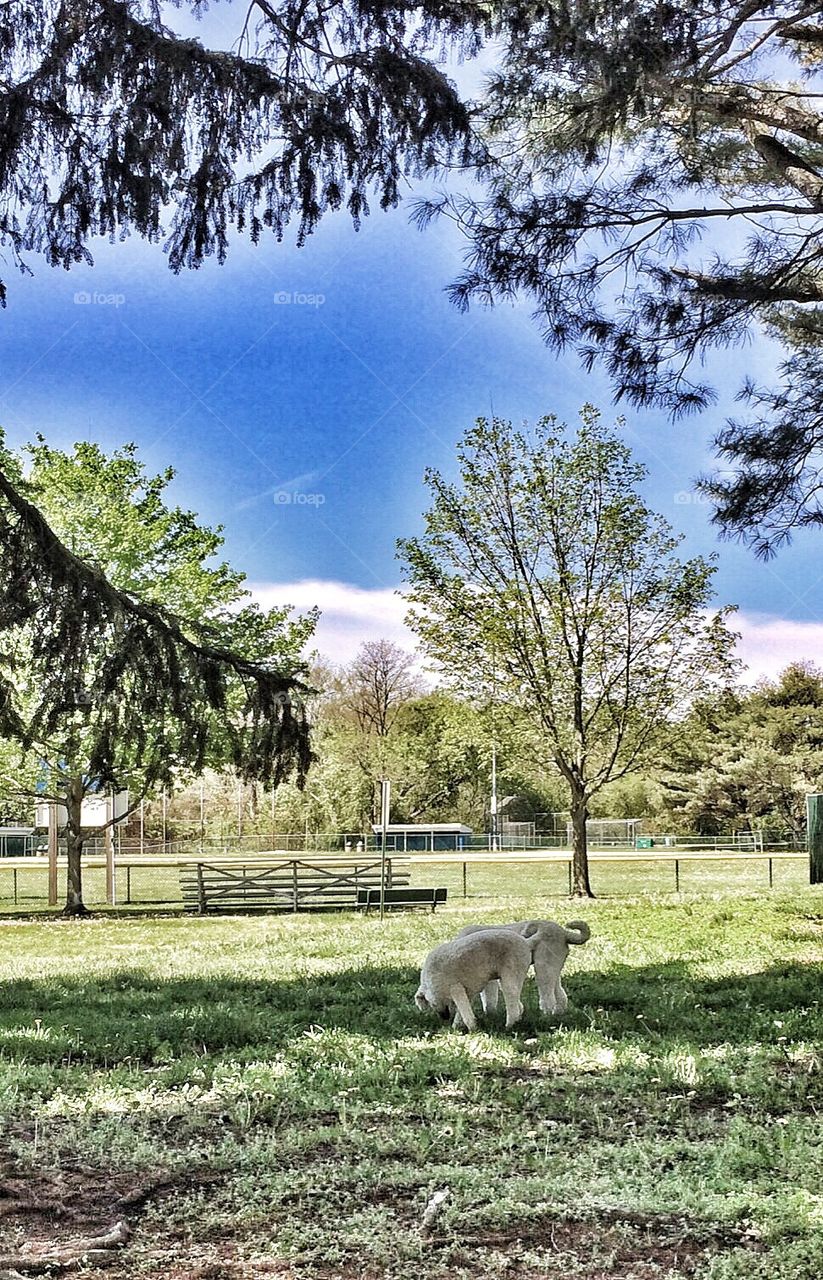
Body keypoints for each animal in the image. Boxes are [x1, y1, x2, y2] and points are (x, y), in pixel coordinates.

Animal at [414, 931, 545, 1029]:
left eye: (433, 1004)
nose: (444, 1018)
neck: (429, 983)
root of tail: (527, 942)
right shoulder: (467, 991)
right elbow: (462, 1011)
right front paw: (457, 1027)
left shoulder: (455, 987)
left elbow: (464, 1011)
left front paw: (471, 1029)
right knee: (517, 1001)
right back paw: (517, 1019)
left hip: (512, 971)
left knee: (512, 999)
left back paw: (509, 1025)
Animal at [458, 921, 591, 1018]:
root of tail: (564, 933)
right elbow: (488, 997)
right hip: (554, 966)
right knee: (560, 994)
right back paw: (557, 1014)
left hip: (544, 966)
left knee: (548, 997)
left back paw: (545, 1017)